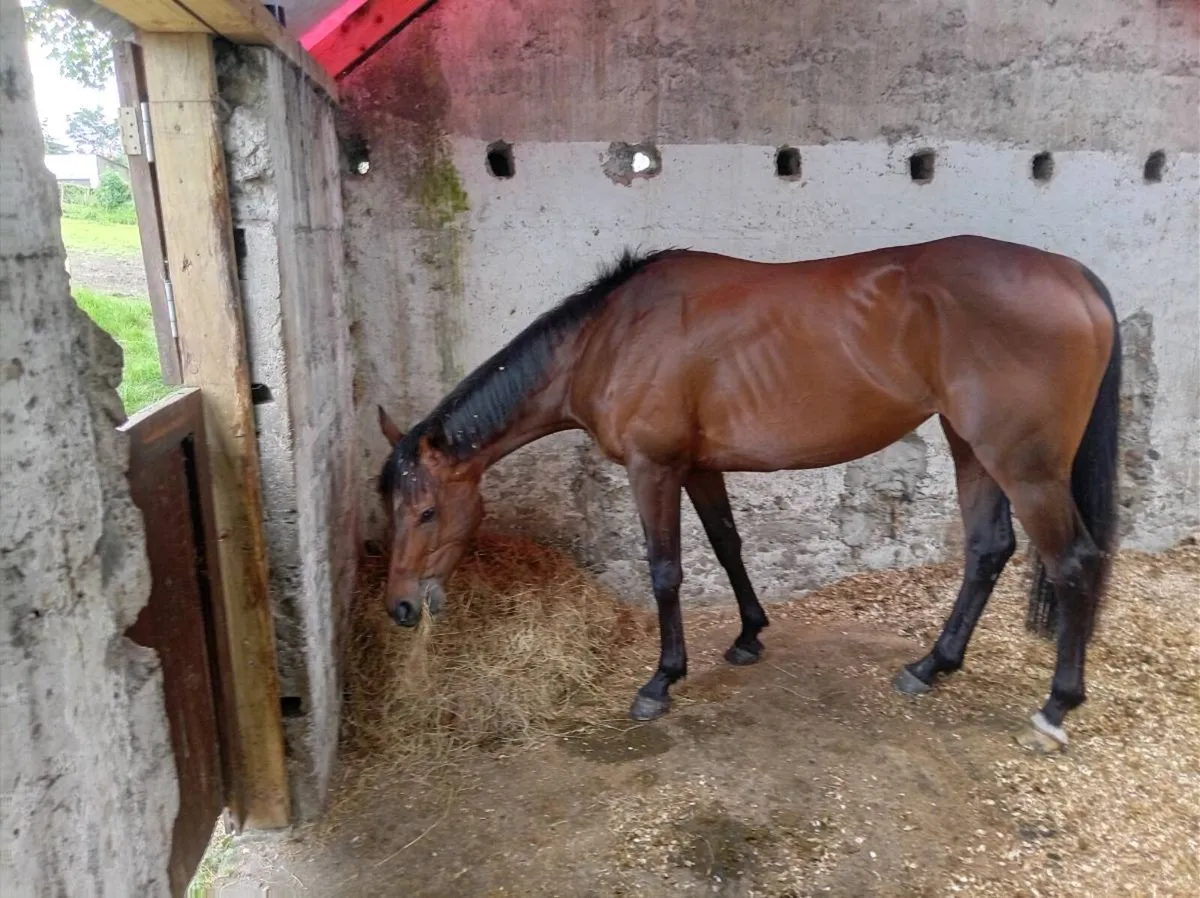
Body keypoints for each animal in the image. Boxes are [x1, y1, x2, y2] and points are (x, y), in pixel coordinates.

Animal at [376, 235, 1121, 753]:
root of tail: (1074, 276)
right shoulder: (698, 466)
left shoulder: (653, 467)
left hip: (1023, 465)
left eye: (427, 511)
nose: (401, 608)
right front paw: (748, 636)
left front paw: (661, 680)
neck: (610, 336)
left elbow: (666, 571)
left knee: (1073, 563)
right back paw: (930, 666)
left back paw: (1054, 708)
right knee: (987, 549)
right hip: (972, 448)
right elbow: (729, 545)